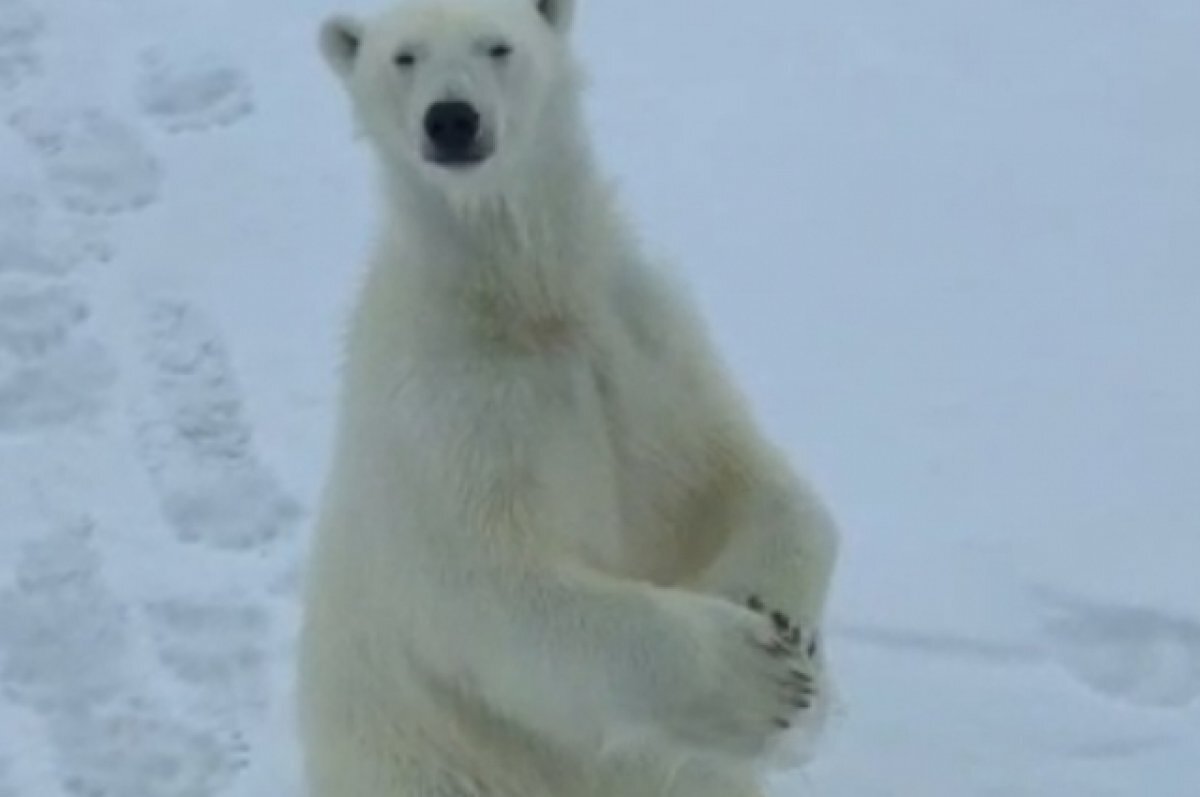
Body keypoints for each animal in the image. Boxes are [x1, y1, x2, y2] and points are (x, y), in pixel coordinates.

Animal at [300, 1, 844, 797]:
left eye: (498, 46)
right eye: (404, 57)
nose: (452, 120)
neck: (528, 299)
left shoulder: (643, 338)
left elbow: (744, 474)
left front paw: (773, 616)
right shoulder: (452, 407)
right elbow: (495, 587)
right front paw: (758, 677)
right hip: (432, 761)